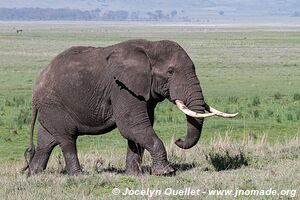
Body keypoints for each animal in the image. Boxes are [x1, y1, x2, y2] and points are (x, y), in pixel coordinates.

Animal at [22, 39, 238, 177]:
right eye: (170, 72)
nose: (178, 140)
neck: (149, 47)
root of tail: (35, 91)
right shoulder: (121, 87)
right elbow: (132, 126)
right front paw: (166, 173)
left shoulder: (142, 91)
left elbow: (139, 128)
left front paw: (133, 175)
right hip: (54, 104)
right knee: (67, 139)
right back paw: (78, 176)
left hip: (50, 107)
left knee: (47, 142)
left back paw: (35, 175)